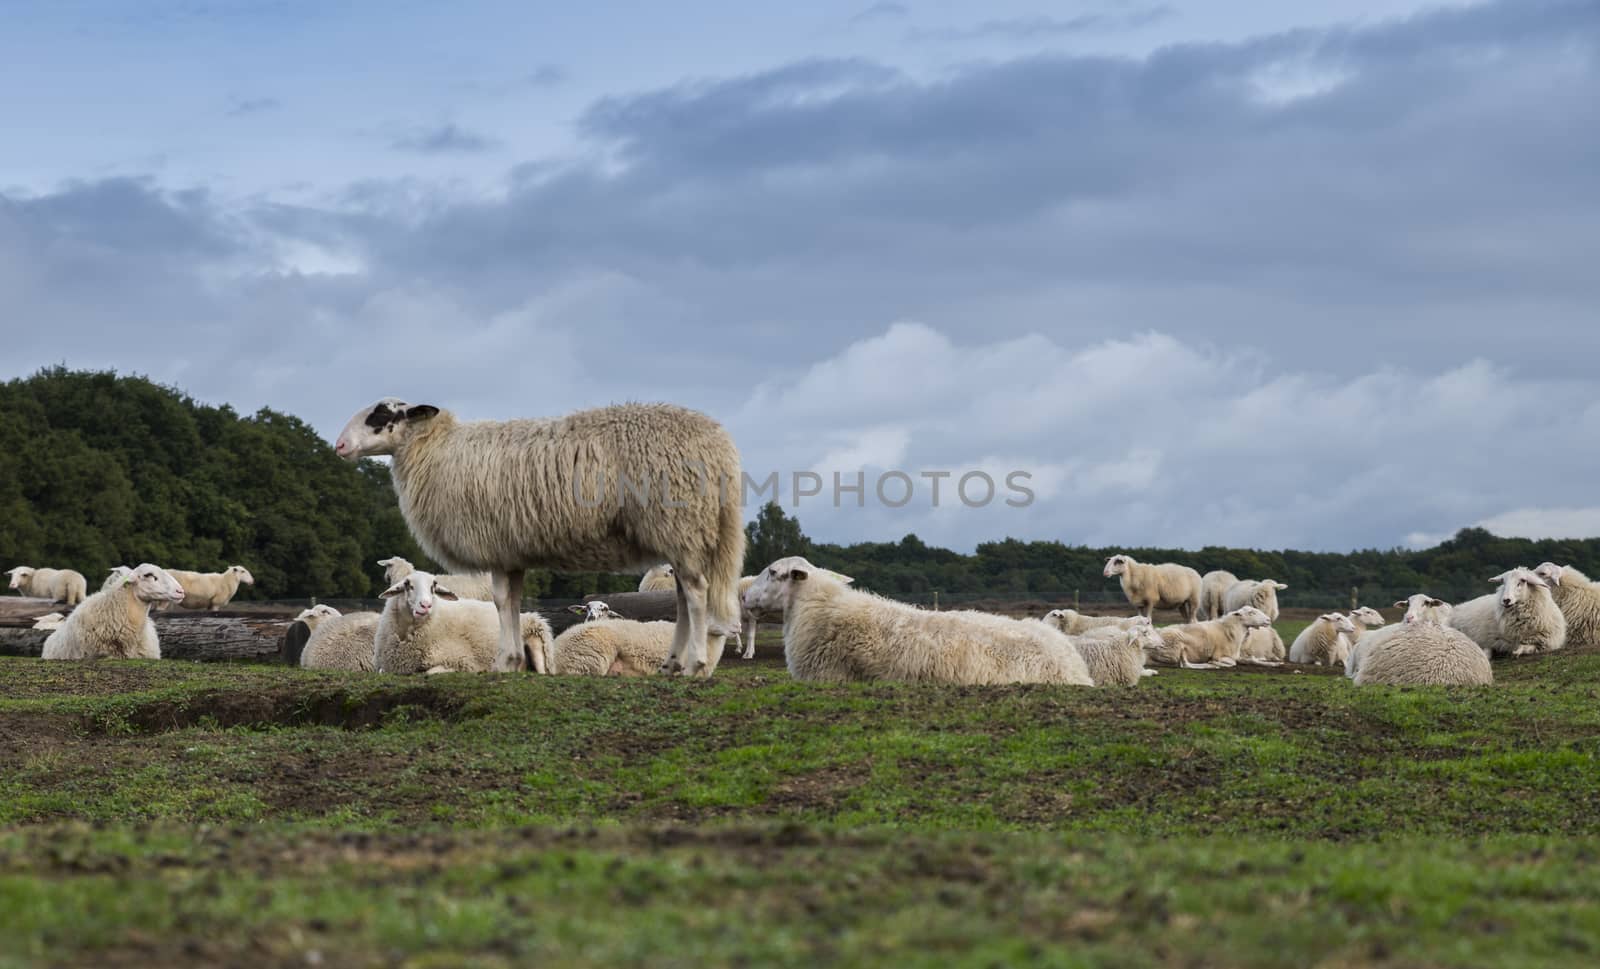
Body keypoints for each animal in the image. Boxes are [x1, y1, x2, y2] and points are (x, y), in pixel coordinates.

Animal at [374, 569, 556, 674]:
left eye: (433, 586)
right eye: (407, 584)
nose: (425, 606)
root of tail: (525, 614)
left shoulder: (461, 661)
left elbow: (430, 672)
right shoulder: (386, 667)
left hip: (537, 640)